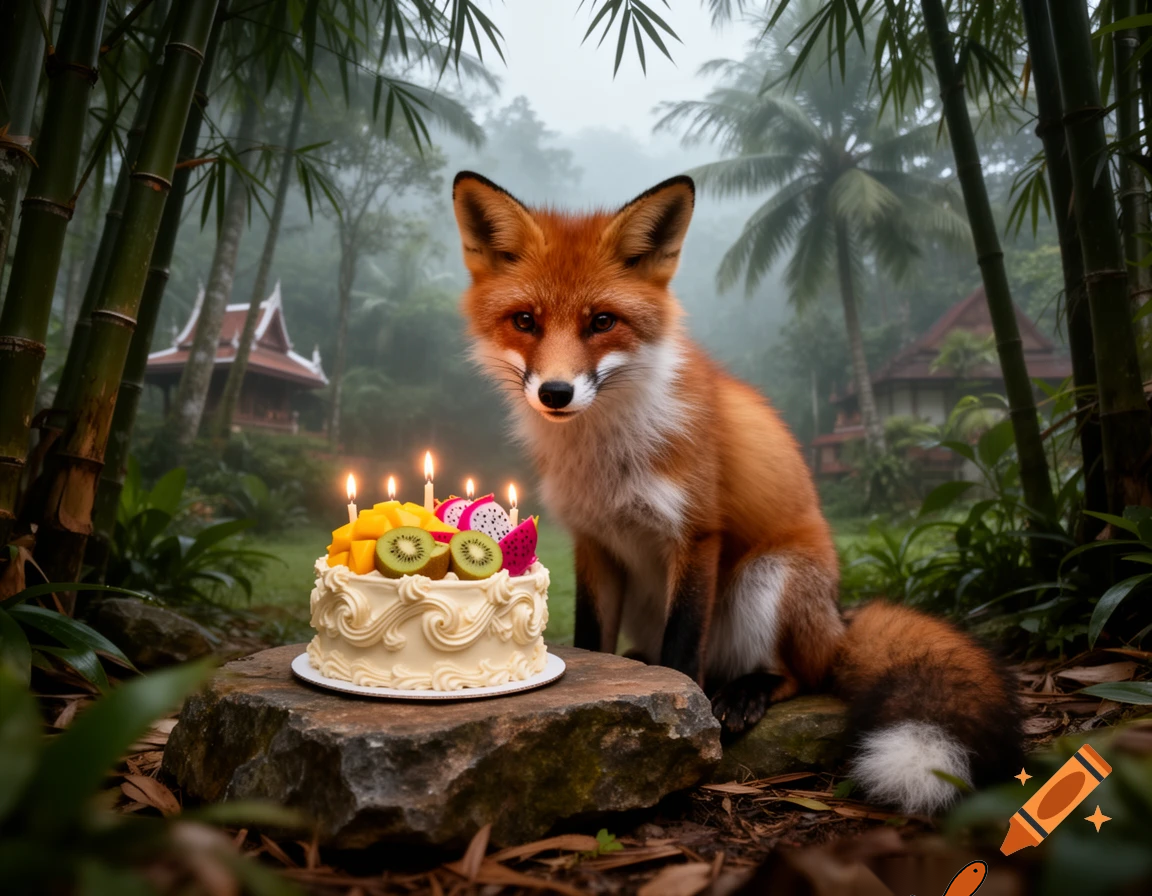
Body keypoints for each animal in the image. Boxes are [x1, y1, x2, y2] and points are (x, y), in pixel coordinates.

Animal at [450, 170, 1023, 815]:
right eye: (525, 321)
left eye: (602, 322)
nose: (555, 392)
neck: (606, 455)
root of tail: (840, 621)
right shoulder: (594, 541)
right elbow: (594, 638)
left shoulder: (696, 533)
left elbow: (681, 652)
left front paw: (681, 731)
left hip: (769, 580)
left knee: (803, 673)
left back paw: (747, 690)